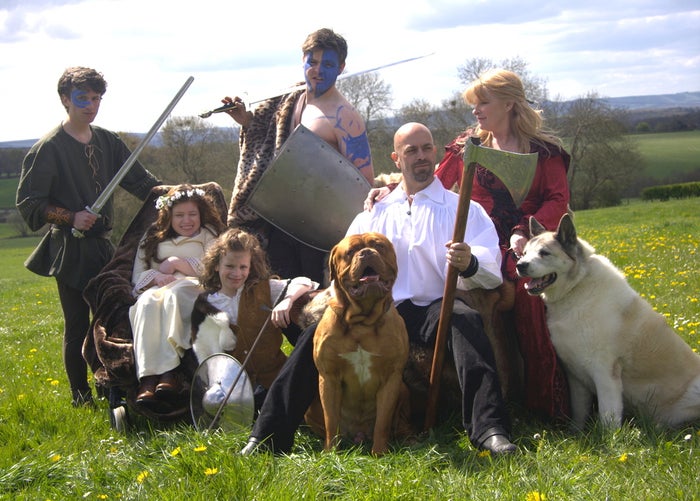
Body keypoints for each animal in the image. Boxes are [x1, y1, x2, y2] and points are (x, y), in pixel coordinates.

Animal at [310, 232, 410, 456]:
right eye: (350, 252)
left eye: (379, 246)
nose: (366, 253)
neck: (362, 322)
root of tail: (359, 435)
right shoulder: (328, 378)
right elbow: (331, 421)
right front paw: (330, 453)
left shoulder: (391, 378)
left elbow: (382, 422)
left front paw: (379, 453)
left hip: (403, 388)